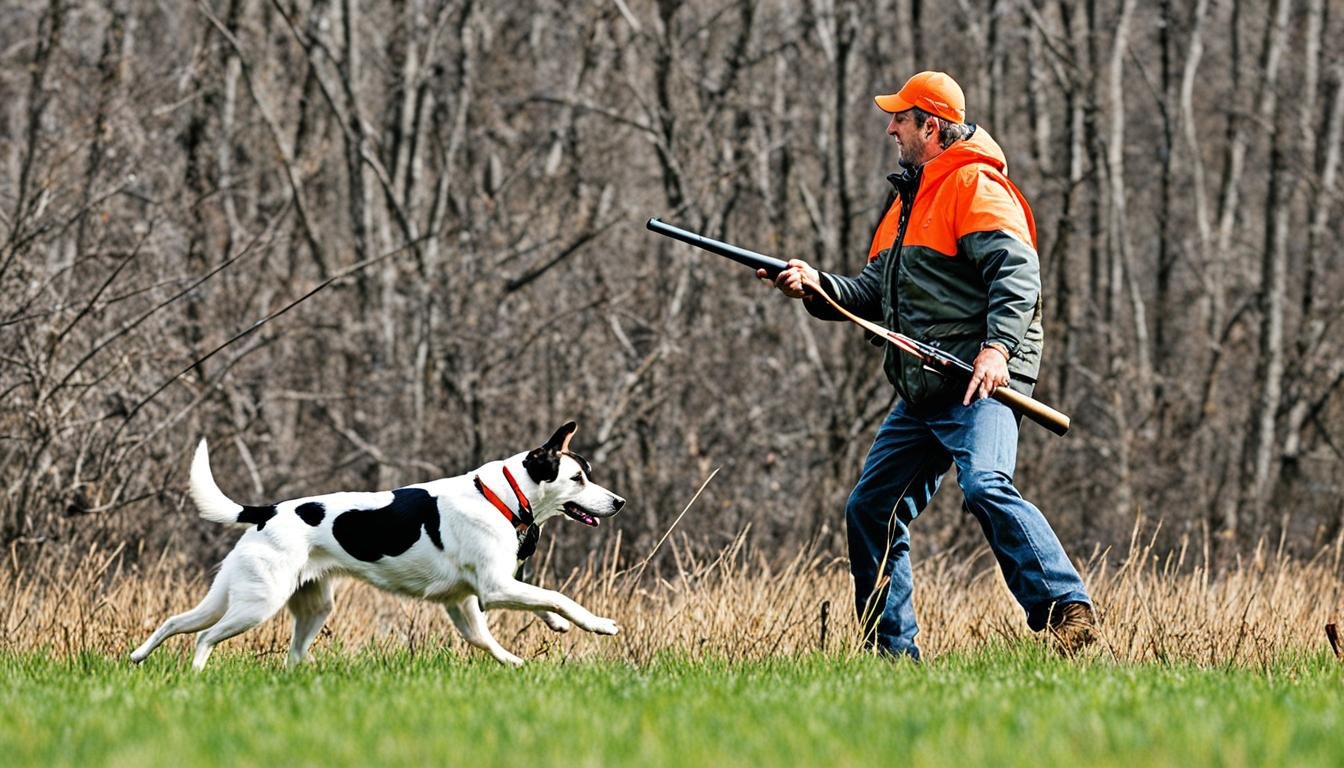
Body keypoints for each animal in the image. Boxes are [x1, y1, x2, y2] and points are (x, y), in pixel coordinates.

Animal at [131, 425, 623, 669]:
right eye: (577, 478)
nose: (619, 502)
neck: (501, 495)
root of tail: (266, 511)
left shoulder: (465, 600)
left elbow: (501, 628)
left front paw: (539, 640)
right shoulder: (494, 588)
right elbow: (558, 597)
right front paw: (599, 625)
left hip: (285, 604)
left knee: (180, 622)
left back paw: (139, 657)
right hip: (257, 605)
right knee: (204, 638)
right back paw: (196, 675)